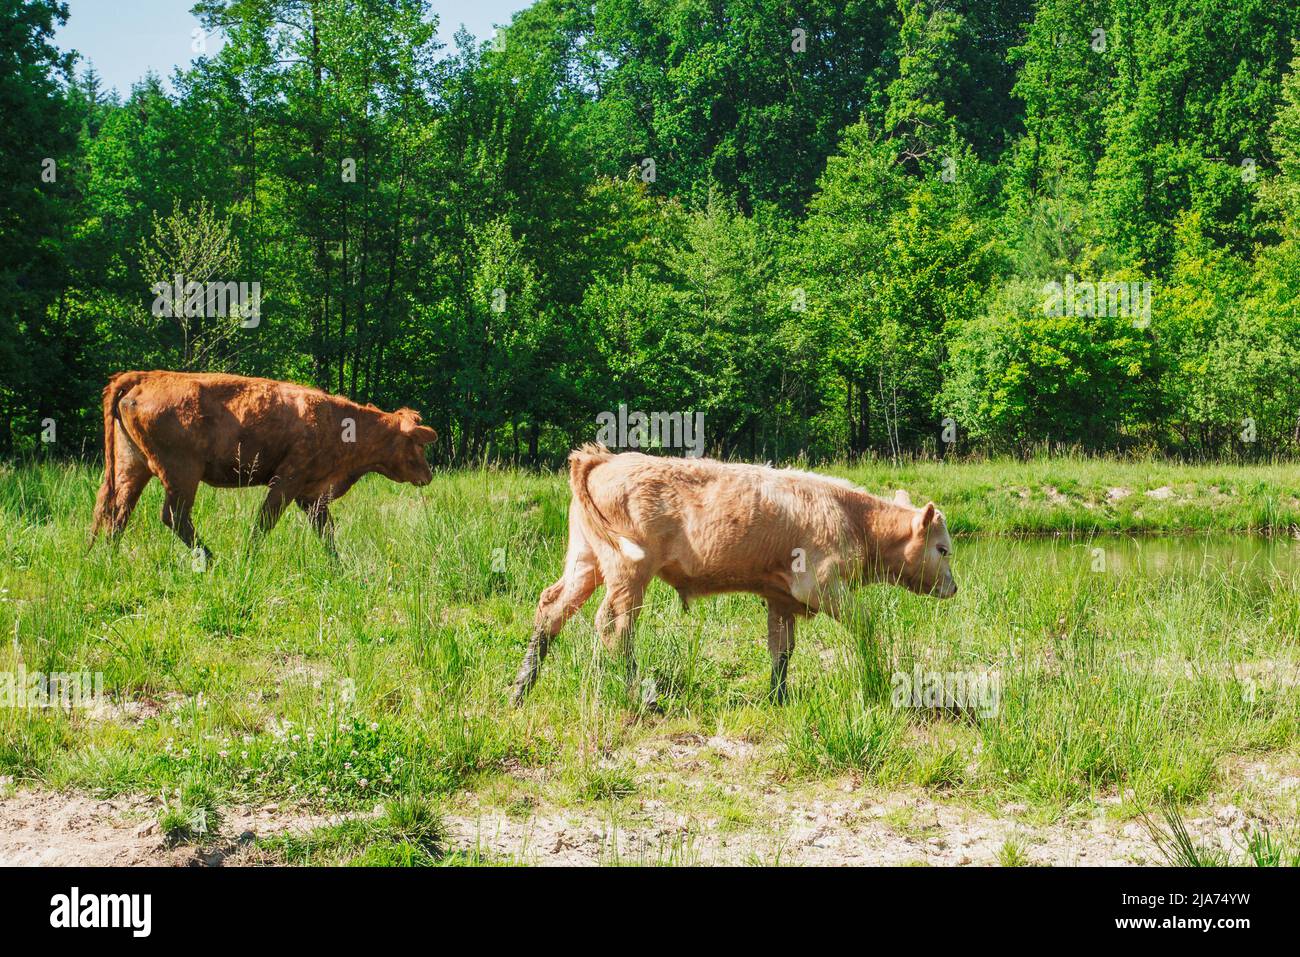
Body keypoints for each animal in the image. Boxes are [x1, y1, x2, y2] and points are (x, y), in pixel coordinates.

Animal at [90, 371, 437, 556]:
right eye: (418, 444)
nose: (428, 475)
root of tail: (147, 376)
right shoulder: (287, 481)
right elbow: (264, 522)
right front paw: (248, 557)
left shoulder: (311, 493)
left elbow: (326, 530)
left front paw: (338, 566)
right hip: (181, 473)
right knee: (174, 516)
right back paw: (212, 559)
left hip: (131, 467)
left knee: (115, 511)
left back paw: (107, 556)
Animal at [510, 445, 956, 707]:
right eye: (943, 549)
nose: (954, 587)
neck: (850, 516)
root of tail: (603, 457)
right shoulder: (821, 585)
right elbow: (866, 624)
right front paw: (875, 677)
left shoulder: (781, 597)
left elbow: (781, 650)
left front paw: (777, 698)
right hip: (628, 571)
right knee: (616, 628)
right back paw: (640, 696)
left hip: (586, 561)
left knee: (552, 608)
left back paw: (521, 690)